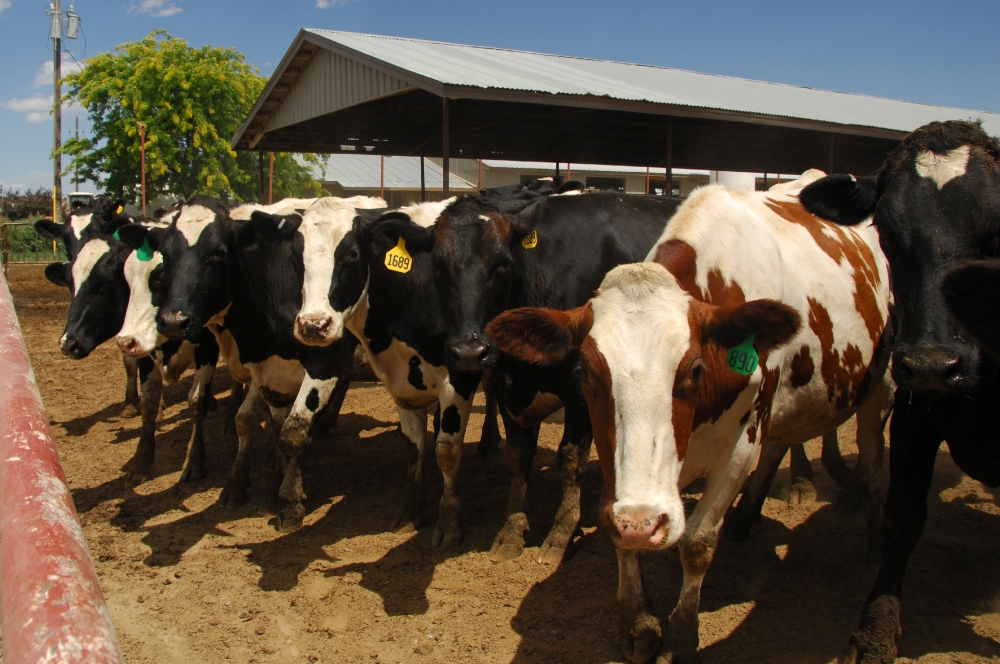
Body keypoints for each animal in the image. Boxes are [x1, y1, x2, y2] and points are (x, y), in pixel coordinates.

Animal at [141, 193, 386, 528]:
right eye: (165, 255)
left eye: (220, 252)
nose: (173, 321)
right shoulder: (270, 373)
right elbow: (272, 429)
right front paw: (267, 489)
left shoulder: (328, 362)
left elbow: (292, 432)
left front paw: (290, 502)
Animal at [486, 172, 892, 664]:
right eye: (584, 371)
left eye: (695, 369)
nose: (645, 523)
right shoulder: (613, 452)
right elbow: (620, 532)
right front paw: (638, 623)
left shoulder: (739, 449)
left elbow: (697, 543)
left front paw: (681, 636)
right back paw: (747, 517)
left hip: (881, 386)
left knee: (873, 449)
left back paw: (873, 531)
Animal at [800, 120, 1000, 664]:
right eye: (887, 235)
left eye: (997, 229)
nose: (932, 364)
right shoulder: (916, 413)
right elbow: (902, 517)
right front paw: (875, 631)